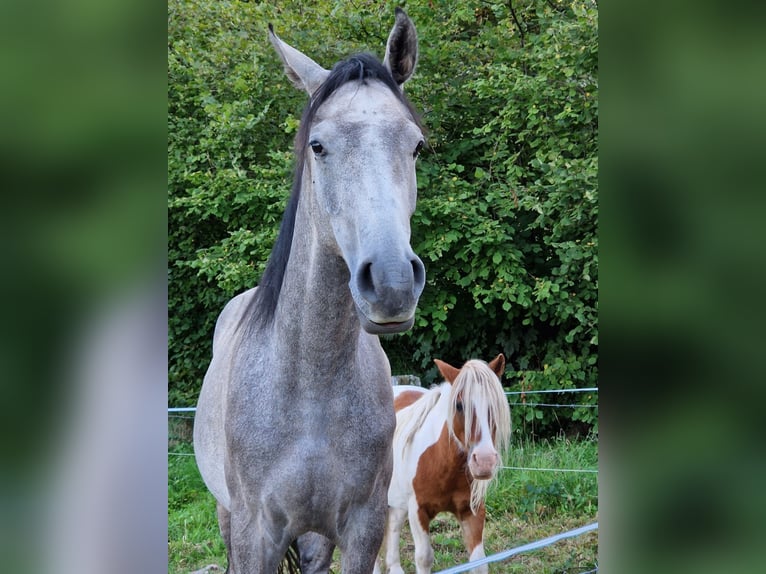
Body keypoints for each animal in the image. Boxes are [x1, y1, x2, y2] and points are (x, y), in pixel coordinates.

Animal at [194, 10, 426, 574]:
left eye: (416, 145)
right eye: (317, 146)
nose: (392, 283)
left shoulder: (362, 529)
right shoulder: (255, 533)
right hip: (228, 516)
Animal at [378, 356, 510, 574]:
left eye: (496, 404)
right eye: (459, 405)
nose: (484, 461)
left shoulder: (472, 511)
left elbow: (479, 562)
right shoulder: (418, 511)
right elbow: (424, 558)